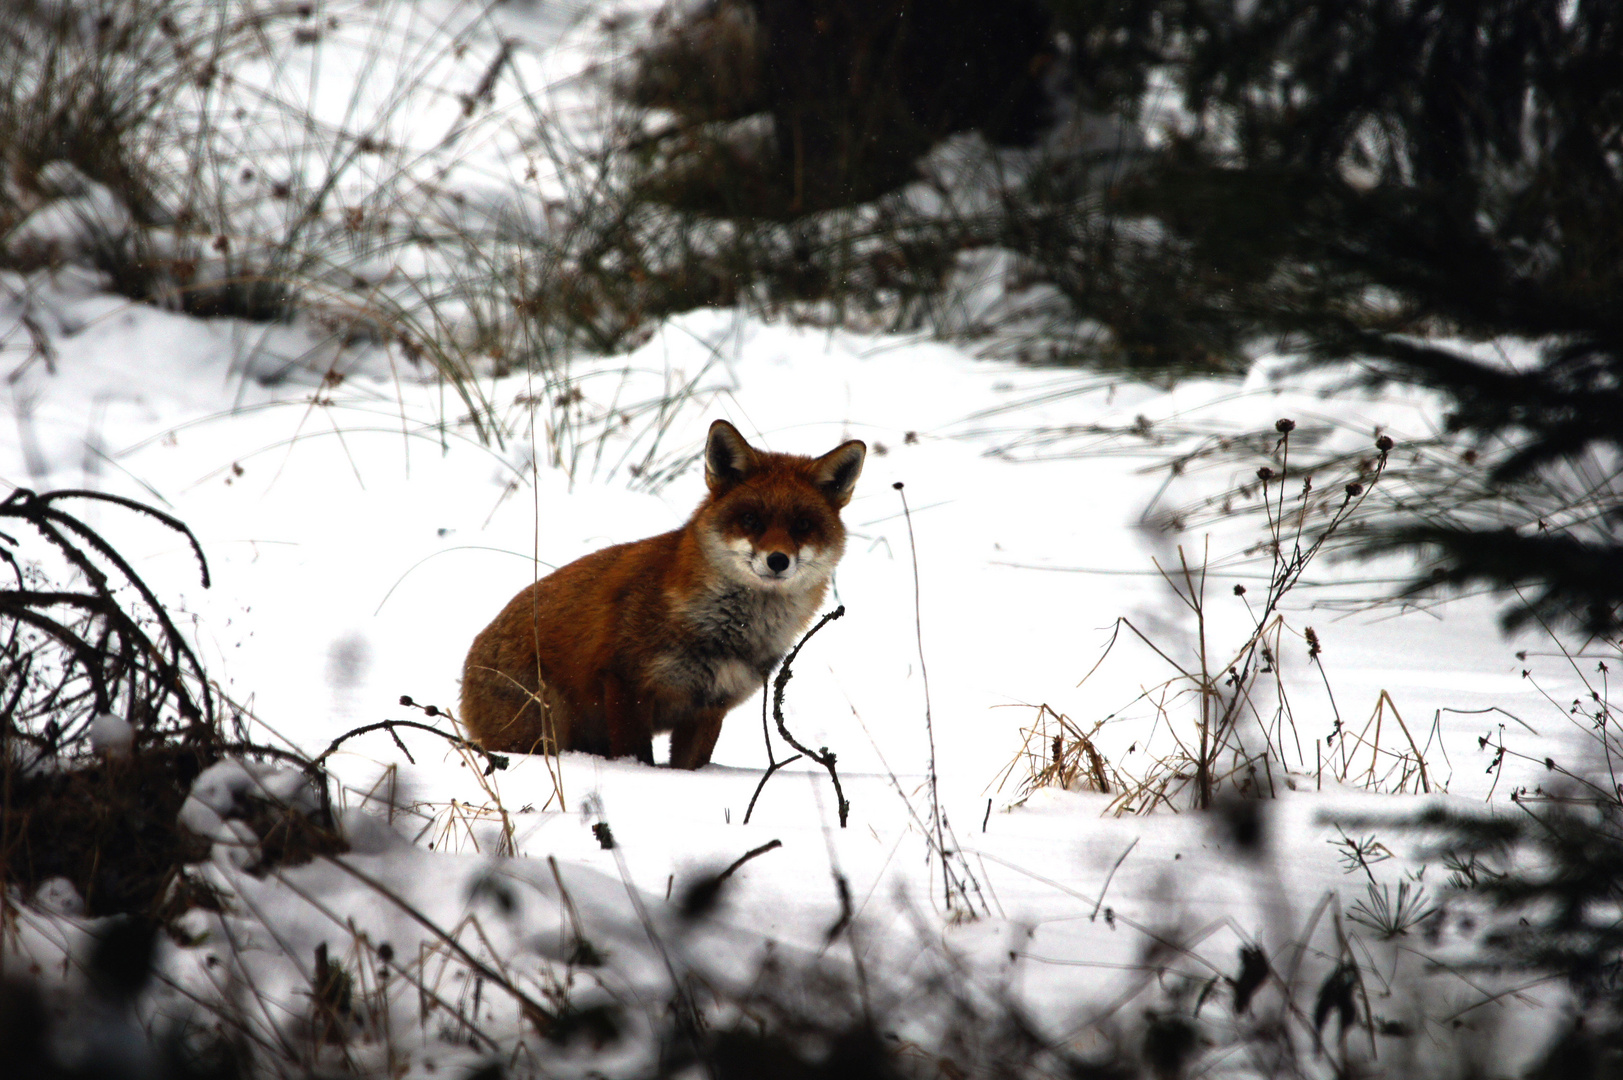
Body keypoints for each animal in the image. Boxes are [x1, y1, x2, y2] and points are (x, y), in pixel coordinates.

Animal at [464, 419, 869, 766]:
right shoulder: (626, 684)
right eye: (750, 520)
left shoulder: (710, 707)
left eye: (802, 525)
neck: (726, 632)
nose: (778, 560)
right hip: (547, 729)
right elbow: (637, 758)